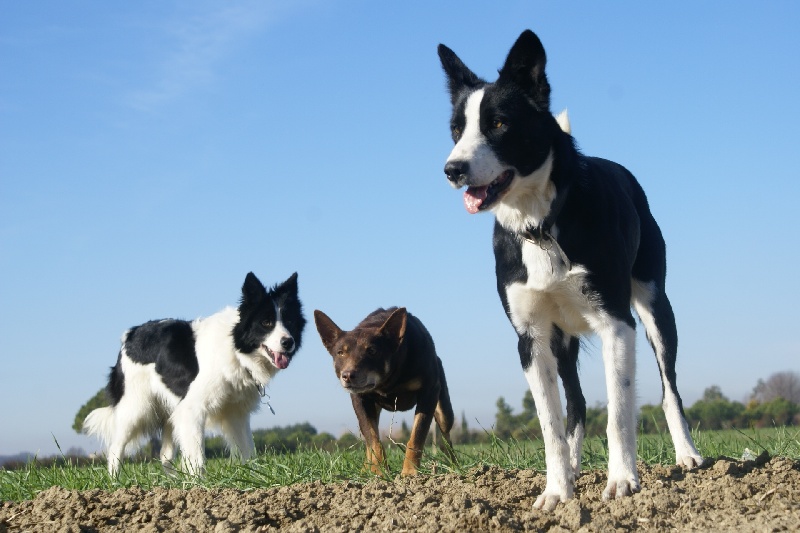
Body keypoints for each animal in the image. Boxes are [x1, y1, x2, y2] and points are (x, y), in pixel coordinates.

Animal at [83, 272, 304, 476]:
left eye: (290, 321)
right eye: (266, 323)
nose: (288, 342)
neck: (235, 347)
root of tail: (131, 334)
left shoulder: (236, 413)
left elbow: (248, 450)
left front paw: (255, 478)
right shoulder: (193, 409)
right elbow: (198, 454)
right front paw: (200, 484)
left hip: (169, 410)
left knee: (164, 454)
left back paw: (172, 482)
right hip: (135, 408)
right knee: (115, 448)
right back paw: (116, 481)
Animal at [316, 306, 460, 476]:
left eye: (372, 351)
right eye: (340, 352)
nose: (348, 376)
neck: (388, 380)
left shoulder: (429, 392)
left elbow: (417, 435)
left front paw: (410, 471)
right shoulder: (360, 399)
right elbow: (373, 439)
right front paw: (378, 471)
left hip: (444, 409)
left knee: (446, 437)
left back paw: (453, 465)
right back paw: (366, 468)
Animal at [438, 30, 700, 512]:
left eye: (499, 124)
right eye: (456, 130)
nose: (452, 170)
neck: (539, 224)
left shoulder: (617, 323)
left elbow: (619, 411)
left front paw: (622, 481)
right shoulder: (531, 339)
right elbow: (551, 425)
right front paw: (558, 491)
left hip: (656, 307)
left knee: (669, 385)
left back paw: (687, 454)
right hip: (563, 340)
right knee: (575, 403)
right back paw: (575, 470)